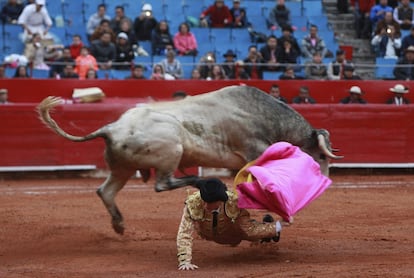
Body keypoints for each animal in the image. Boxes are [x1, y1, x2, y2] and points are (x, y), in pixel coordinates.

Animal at [38, 84, 342, 235]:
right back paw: (200, 181)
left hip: (123, 168)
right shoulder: (255, 152)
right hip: (170, 151)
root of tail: (111, 127)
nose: (325, 182)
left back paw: (119, 224)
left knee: (106, 191)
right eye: (320, 156)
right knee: (162, 183)